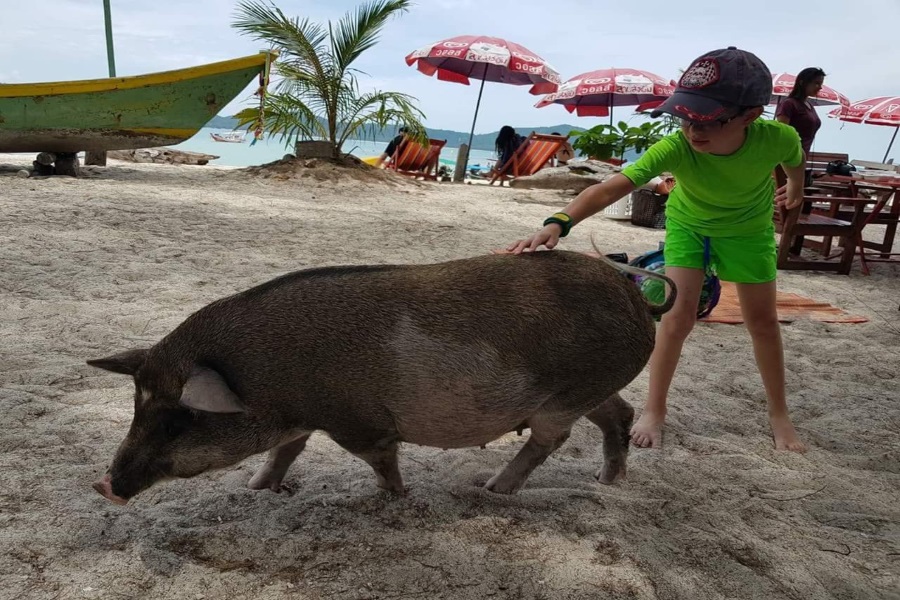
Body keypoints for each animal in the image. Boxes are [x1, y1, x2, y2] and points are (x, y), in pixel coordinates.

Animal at [89, 250, 676, 506]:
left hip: (566, 397)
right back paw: (608, 482)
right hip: (591, 390)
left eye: (179, 419)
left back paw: (492, 489)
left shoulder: (357, 421)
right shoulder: (304, 419)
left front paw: (395, 497)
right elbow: (285, 451)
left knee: (550, 439)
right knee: (618, 415)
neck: (265, 377)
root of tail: (636, 298)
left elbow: (378, 458)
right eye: (138, 406)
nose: (104, 485)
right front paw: (255, 488)